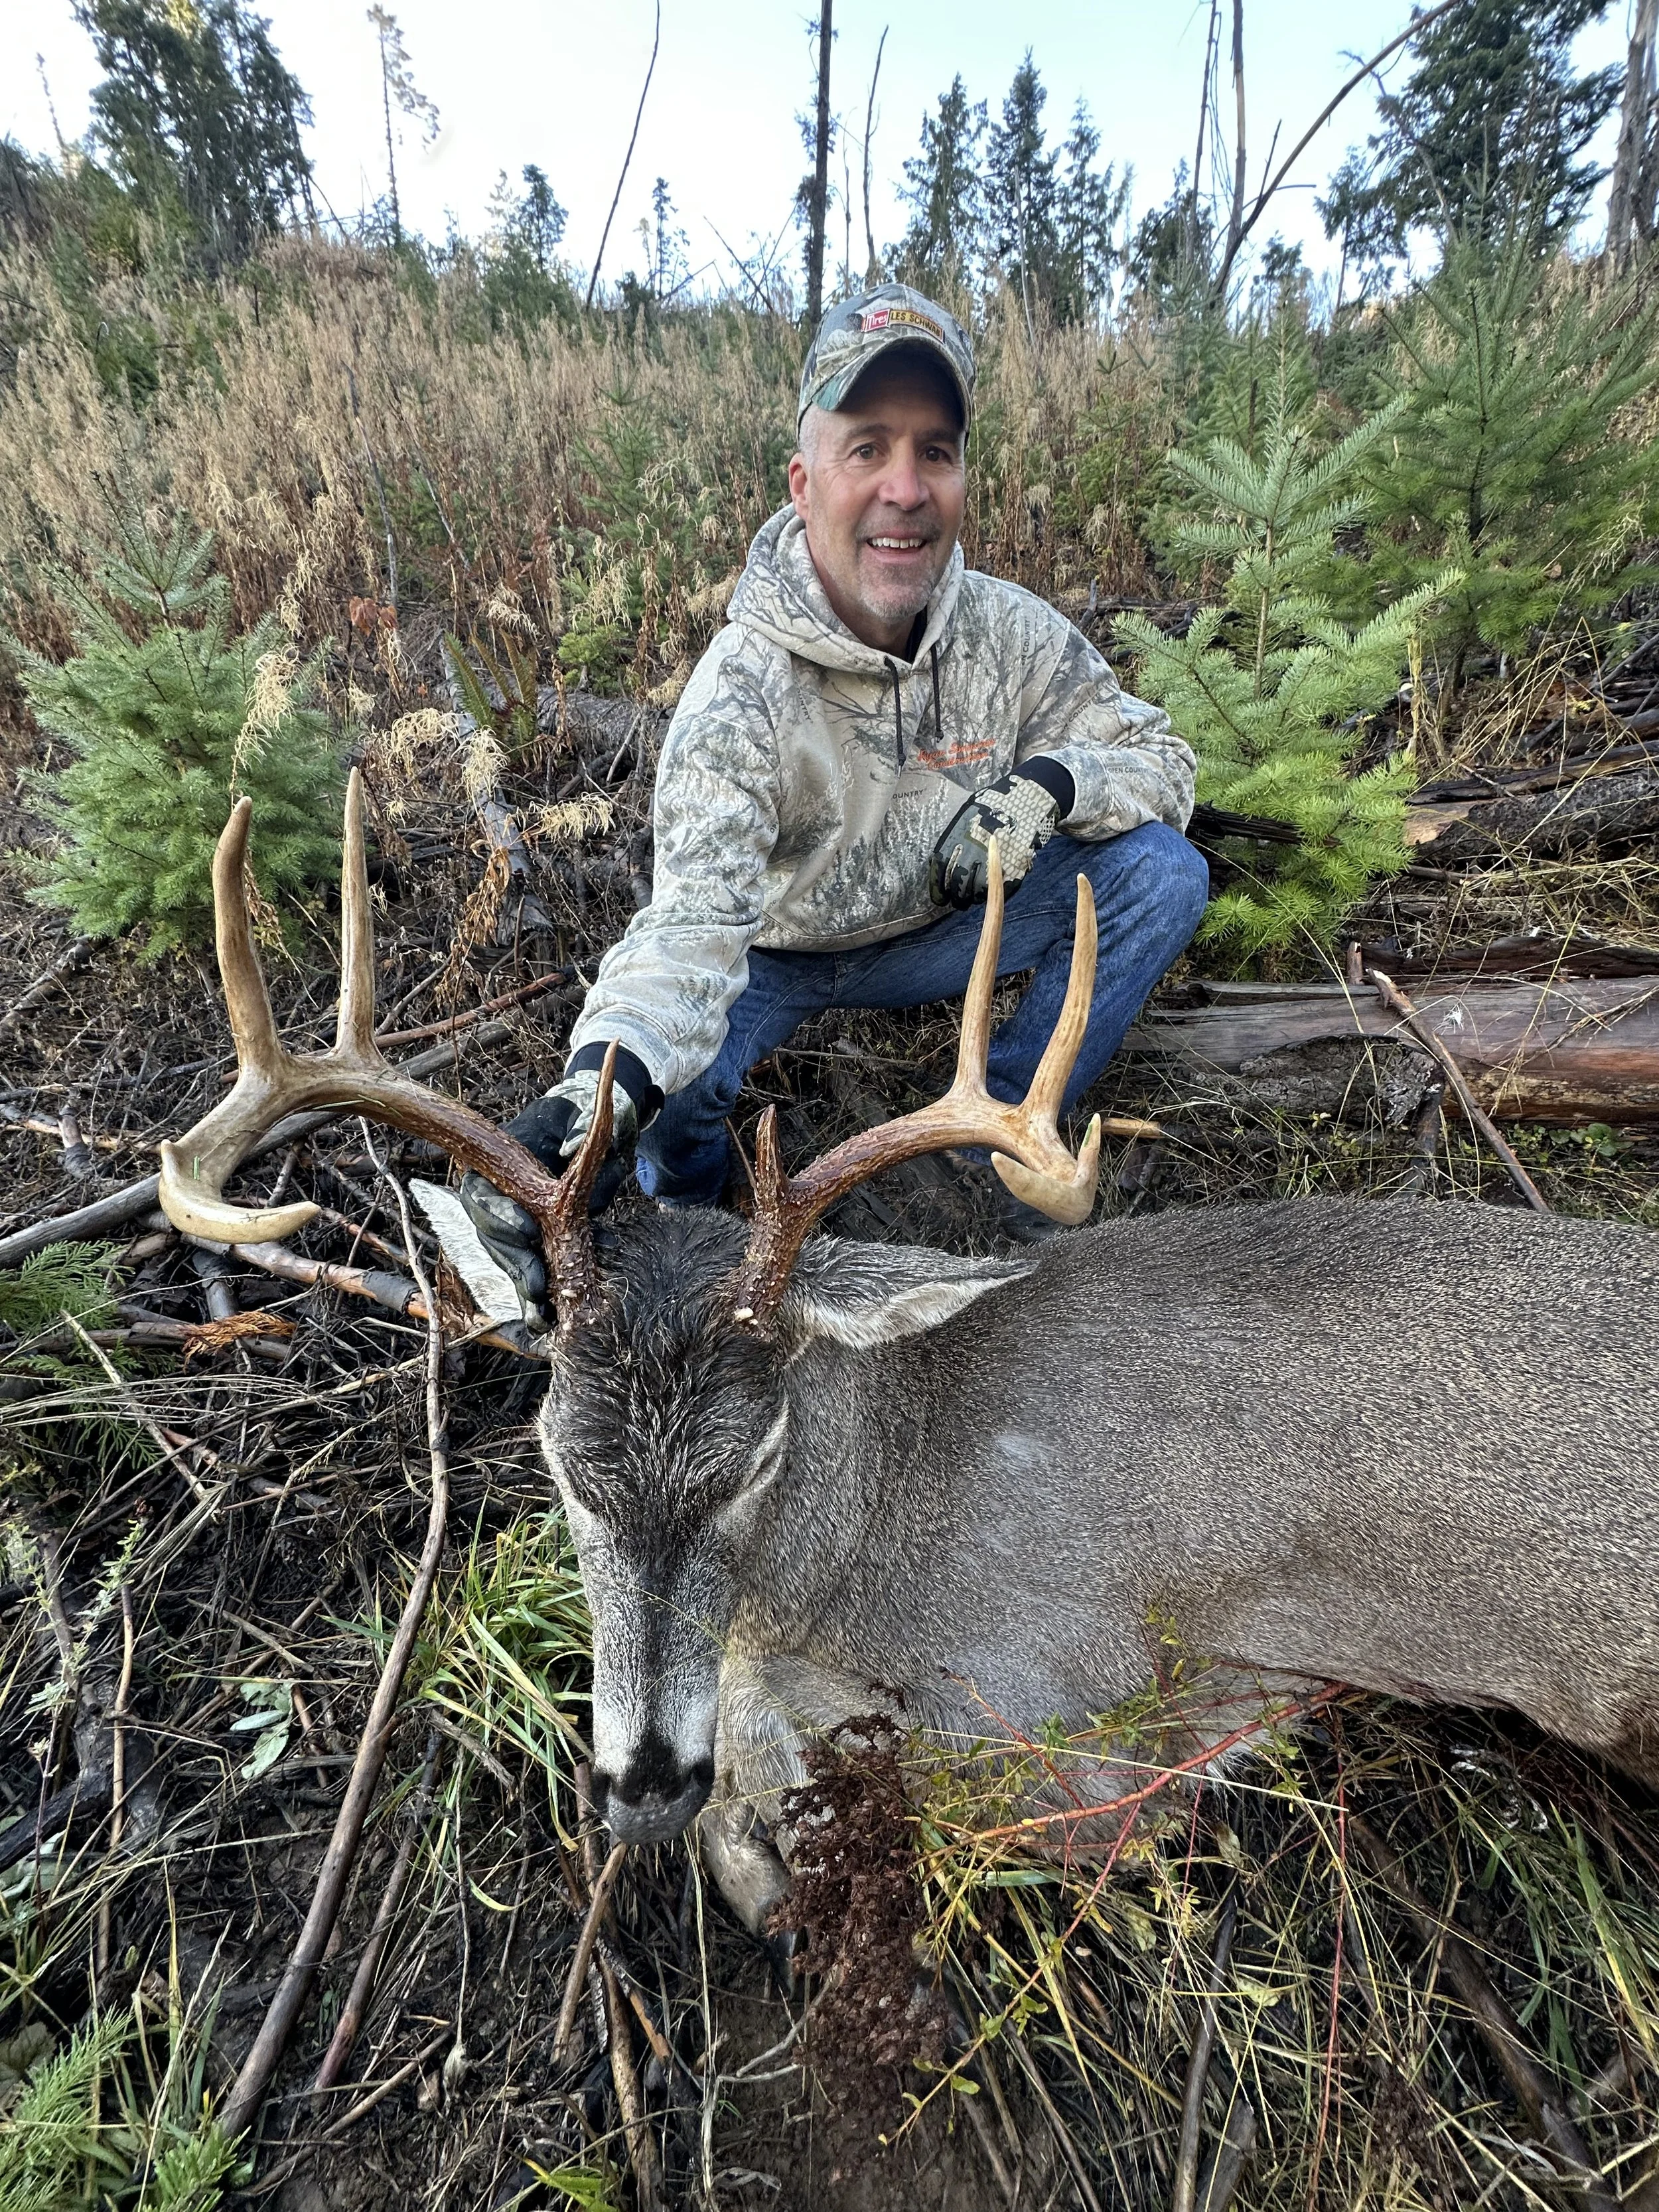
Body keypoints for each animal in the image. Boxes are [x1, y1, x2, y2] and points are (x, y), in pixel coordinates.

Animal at [160, 771, 1659, 1933]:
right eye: (561, 1462)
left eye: (759, 1452)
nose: (641, 1786)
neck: (854, 1540)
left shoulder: (1069, 1715)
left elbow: (808, 1785)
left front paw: (769, 1876)